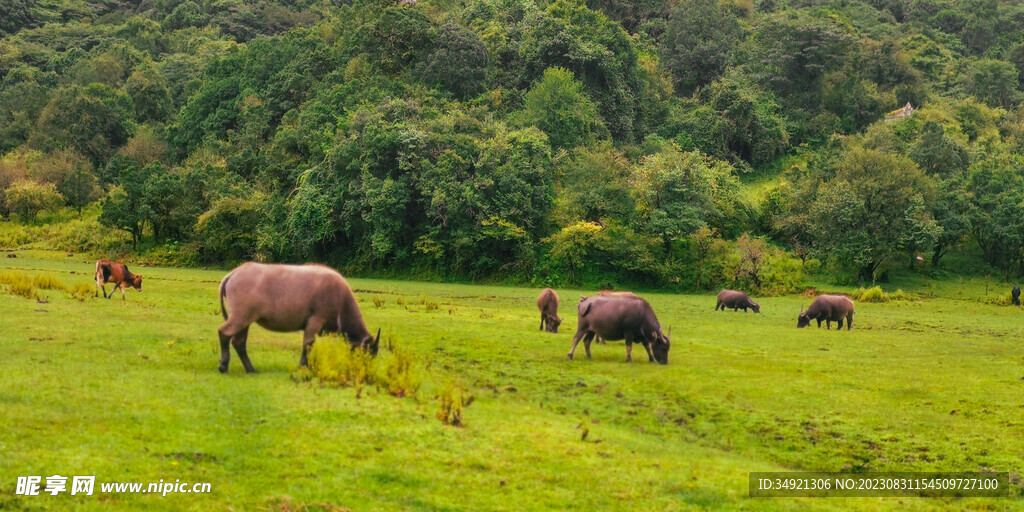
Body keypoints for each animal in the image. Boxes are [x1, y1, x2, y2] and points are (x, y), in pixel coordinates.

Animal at [217, 262, 380, 374]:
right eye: (369, 353)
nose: (366, 370)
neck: (341, 299)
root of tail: (235, 273)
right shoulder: (316, 320)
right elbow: (308, 344)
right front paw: (303, 366)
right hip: (240, 316)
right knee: (224, 333)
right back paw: (223, 365)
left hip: (245, 320)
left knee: (238, 342)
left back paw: (251, 369)